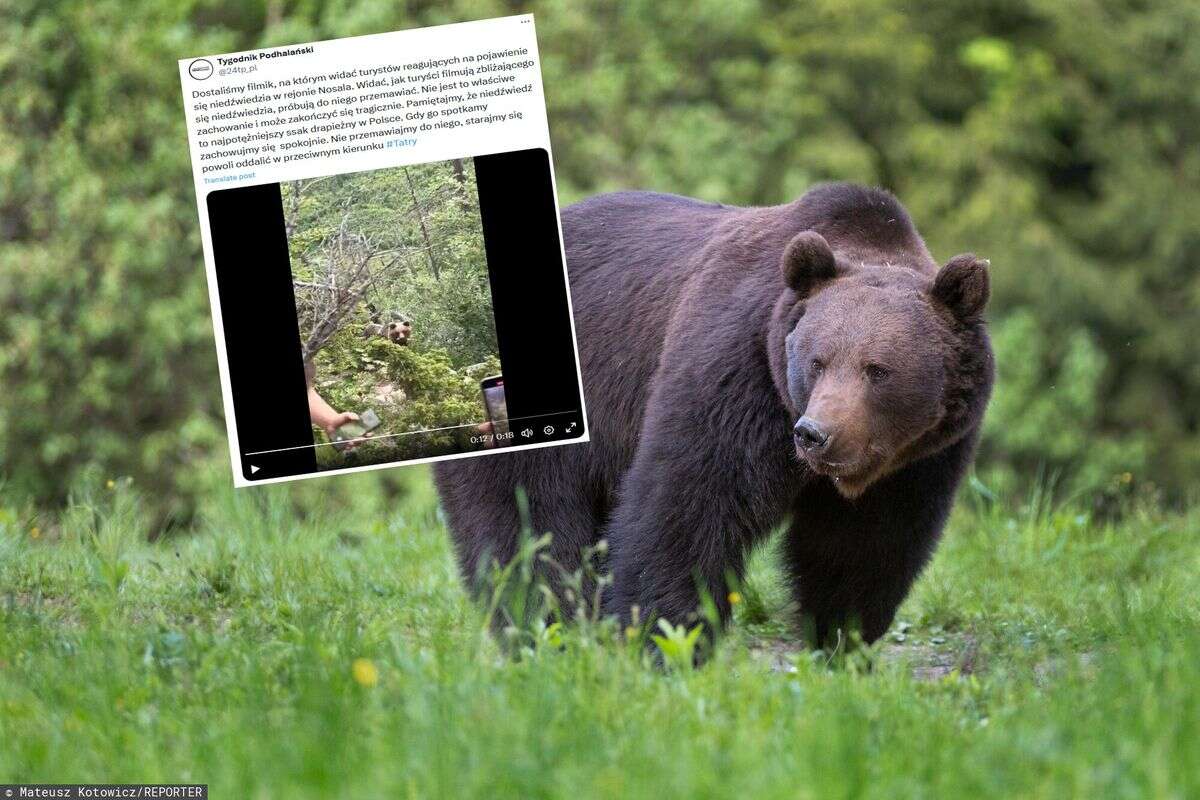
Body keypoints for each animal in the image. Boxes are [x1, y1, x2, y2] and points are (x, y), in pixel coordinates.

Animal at [432, 185, 993, 652]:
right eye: (817, 361)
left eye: (877, 370)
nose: (816, 435)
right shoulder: (735, 368)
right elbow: (689, 504)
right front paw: (667, 637)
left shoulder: (919, 458)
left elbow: (865, 545)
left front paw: (843, 639)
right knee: (529, 523)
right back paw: (548, 627)